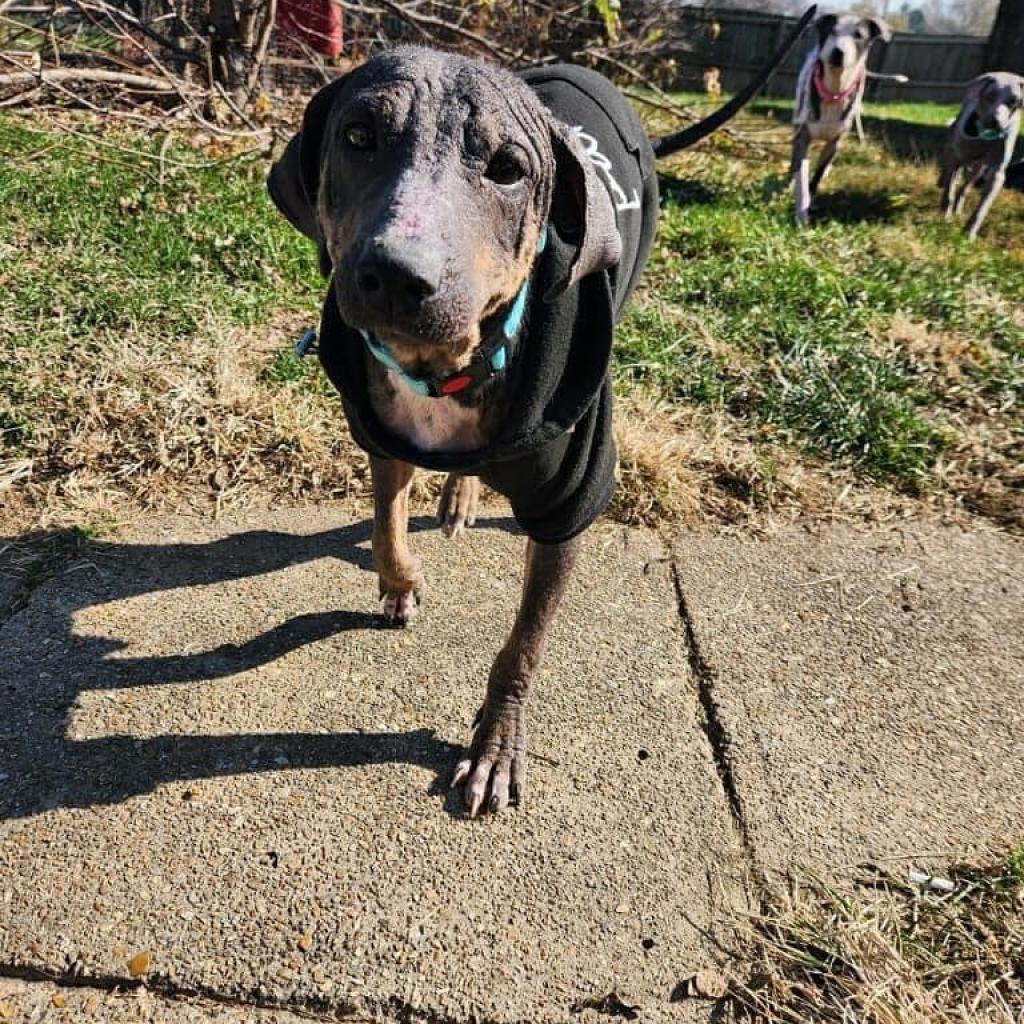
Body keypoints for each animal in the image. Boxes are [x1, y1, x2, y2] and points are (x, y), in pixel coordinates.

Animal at [268, 14, 811, 815]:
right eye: (359, 135)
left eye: (507, 169)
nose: (396, 275)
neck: (449, 369)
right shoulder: (381, 432)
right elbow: (385, 524)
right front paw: (401, 583)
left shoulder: (569, 502)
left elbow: (521, 647)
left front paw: (496, 745)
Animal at [790, 12, 888, 224]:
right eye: (831, 31)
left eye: (859, 35)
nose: (838, 52)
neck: (834, 91)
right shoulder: (803, 135)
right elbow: (801, 175)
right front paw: (801, 212)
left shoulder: (835, 141)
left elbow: (817, 174)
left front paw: (810, 198)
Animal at [937, 72, 1019, 239]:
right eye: (990, 95)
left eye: (1014, 100)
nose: (996, 122)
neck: (983, 137)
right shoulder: (955, 157)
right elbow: (949, 192)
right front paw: (945, 216)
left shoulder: (997, 174)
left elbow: (982, 207)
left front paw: (969, 233)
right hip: (954, 149)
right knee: (949, 173)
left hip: (978, 168)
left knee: (965, 188)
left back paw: (958, 208)